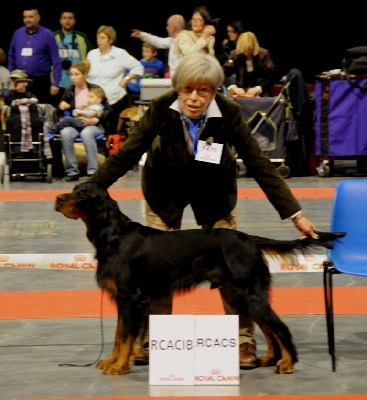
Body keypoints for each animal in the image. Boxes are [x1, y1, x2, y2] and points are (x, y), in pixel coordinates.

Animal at [54, 183, 344, 376]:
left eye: (83, 194)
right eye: (74, 188)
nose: (58, 198)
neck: (114, 235)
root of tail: (249, 239)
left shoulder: (131, 298)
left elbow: (125, 336)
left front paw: (118, 366)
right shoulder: (123, 299)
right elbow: (118, 335)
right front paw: (112, 361)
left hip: (246, 292)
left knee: (278, 326)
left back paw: (286, 363)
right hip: (237, 293)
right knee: (268, 327)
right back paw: (270, 359)